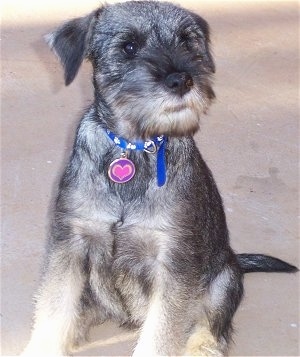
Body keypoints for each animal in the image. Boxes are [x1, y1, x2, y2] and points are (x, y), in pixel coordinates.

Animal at [21, 1, 298, 354]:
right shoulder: (71, 243)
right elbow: (55, 308)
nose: (182, 80)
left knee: (213, 327)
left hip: (223, 281)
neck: (134, 149)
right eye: (129, 47)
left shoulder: (173, 261)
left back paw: (200, 347)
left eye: (187, 42)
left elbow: (162, 332)